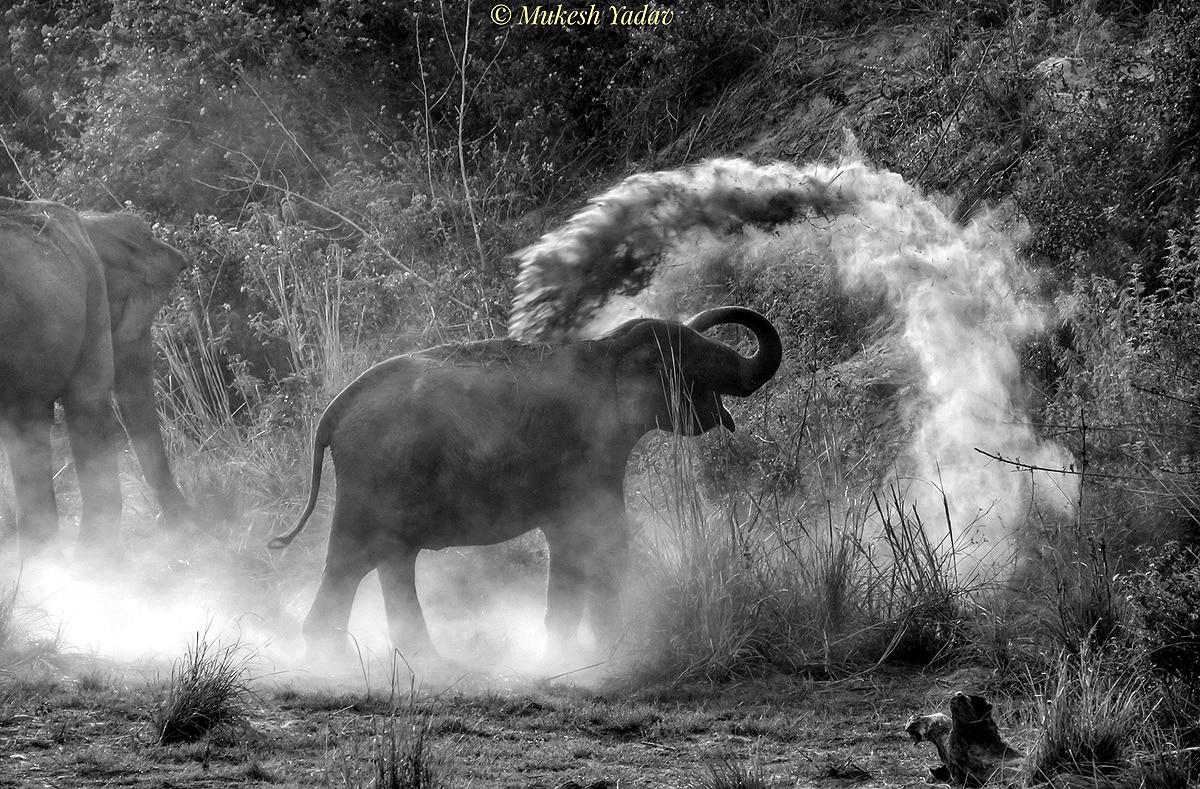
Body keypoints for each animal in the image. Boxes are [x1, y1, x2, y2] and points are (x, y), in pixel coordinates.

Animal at [0, 198, 190, 556]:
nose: (174, 525)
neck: (93, 219)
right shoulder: (93, 288)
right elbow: (89, 405)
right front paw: (96, 565)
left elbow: (27, 430)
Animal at [267, 306, 782, 660]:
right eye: (690, 359)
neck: (608, 349)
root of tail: (333, 412)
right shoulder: (585, 455)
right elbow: (601, 538)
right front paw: (603, 653)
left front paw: (568, 653)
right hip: (375, 475)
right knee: (356, 560)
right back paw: (343, 657)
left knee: (381, 560)